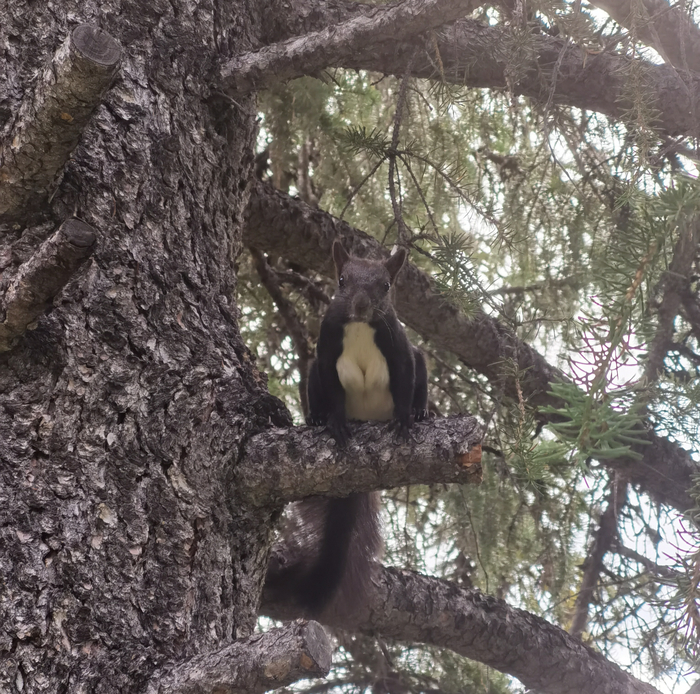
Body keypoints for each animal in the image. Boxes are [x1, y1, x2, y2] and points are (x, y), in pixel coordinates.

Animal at [265, 240, 428, 617]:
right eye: (341, 280)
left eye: (386, 285)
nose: (361, 304)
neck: (360, 327)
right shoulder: (326, 351)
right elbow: (332, 387)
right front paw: (335, 423)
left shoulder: (399, 349)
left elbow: (405, 378)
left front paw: (405, 418)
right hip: (312, 374)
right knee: (314, 382)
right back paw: (317, 420)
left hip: (418, 361)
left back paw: (421, 412)